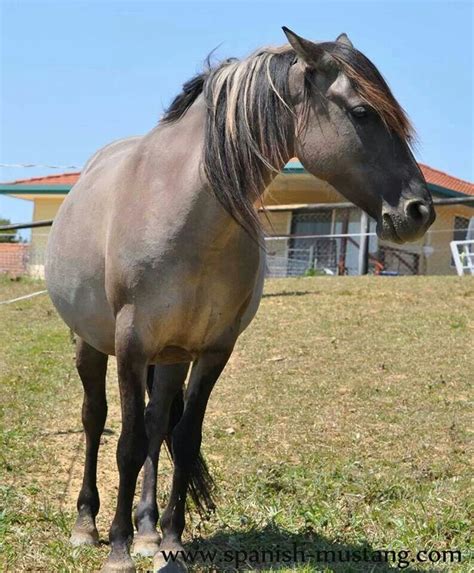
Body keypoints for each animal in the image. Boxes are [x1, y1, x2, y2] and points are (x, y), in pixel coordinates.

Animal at [46, 27, 436, 572]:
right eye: (362, 112)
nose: (419, 211)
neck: (183, 214)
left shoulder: (214, 349)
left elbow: (183, 439)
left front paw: (169, 542)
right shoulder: (130, 345)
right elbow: (126, 443)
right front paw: (119, 549)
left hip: (171, 356)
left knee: (157, 422)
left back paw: (147, 529)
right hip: (90, 342)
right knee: (95, 418)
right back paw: (88, 525)